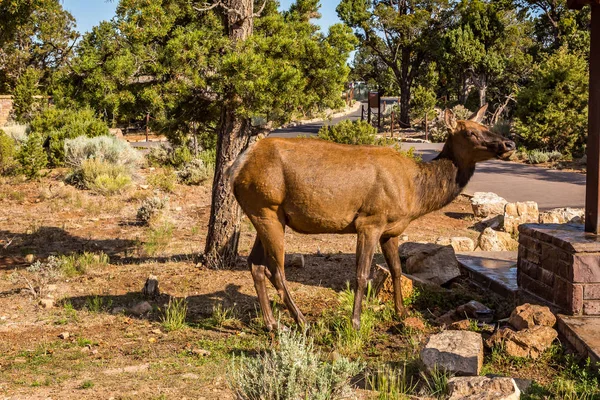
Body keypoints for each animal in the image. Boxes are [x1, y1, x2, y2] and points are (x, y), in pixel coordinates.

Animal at [230, 104, 516, 332]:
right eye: (470, 132)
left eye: (486, 125)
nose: (509, 144)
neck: (416, 193)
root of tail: (236, 167)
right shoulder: (369, 221)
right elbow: (361, 274)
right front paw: (355, 322)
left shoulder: (392, 230)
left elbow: (397, 270)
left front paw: (401, 312)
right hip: (266, 207)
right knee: (276, 270)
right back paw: (302, 321)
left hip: (265, 214)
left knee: (255, 265)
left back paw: (271, 323)